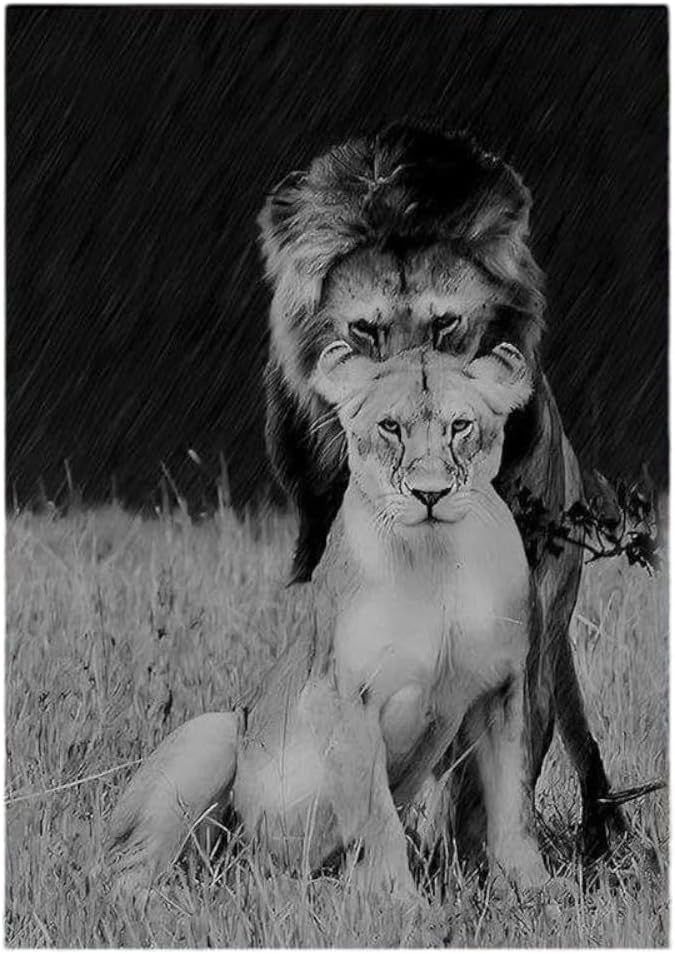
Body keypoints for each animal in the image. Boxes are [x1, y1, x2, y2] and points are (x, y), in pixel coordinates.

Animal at [108, 342, 550, 899]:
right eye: (390, 427)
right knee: (124, 869)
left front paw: (538, 893)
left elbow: (514, 804)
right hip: (213, 732)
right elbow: (375, 814)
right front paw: (397, 900)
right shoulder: (341, 694)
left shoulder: (501, 689)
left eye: (460, 426)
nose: (430, 494)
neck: (435, 557)